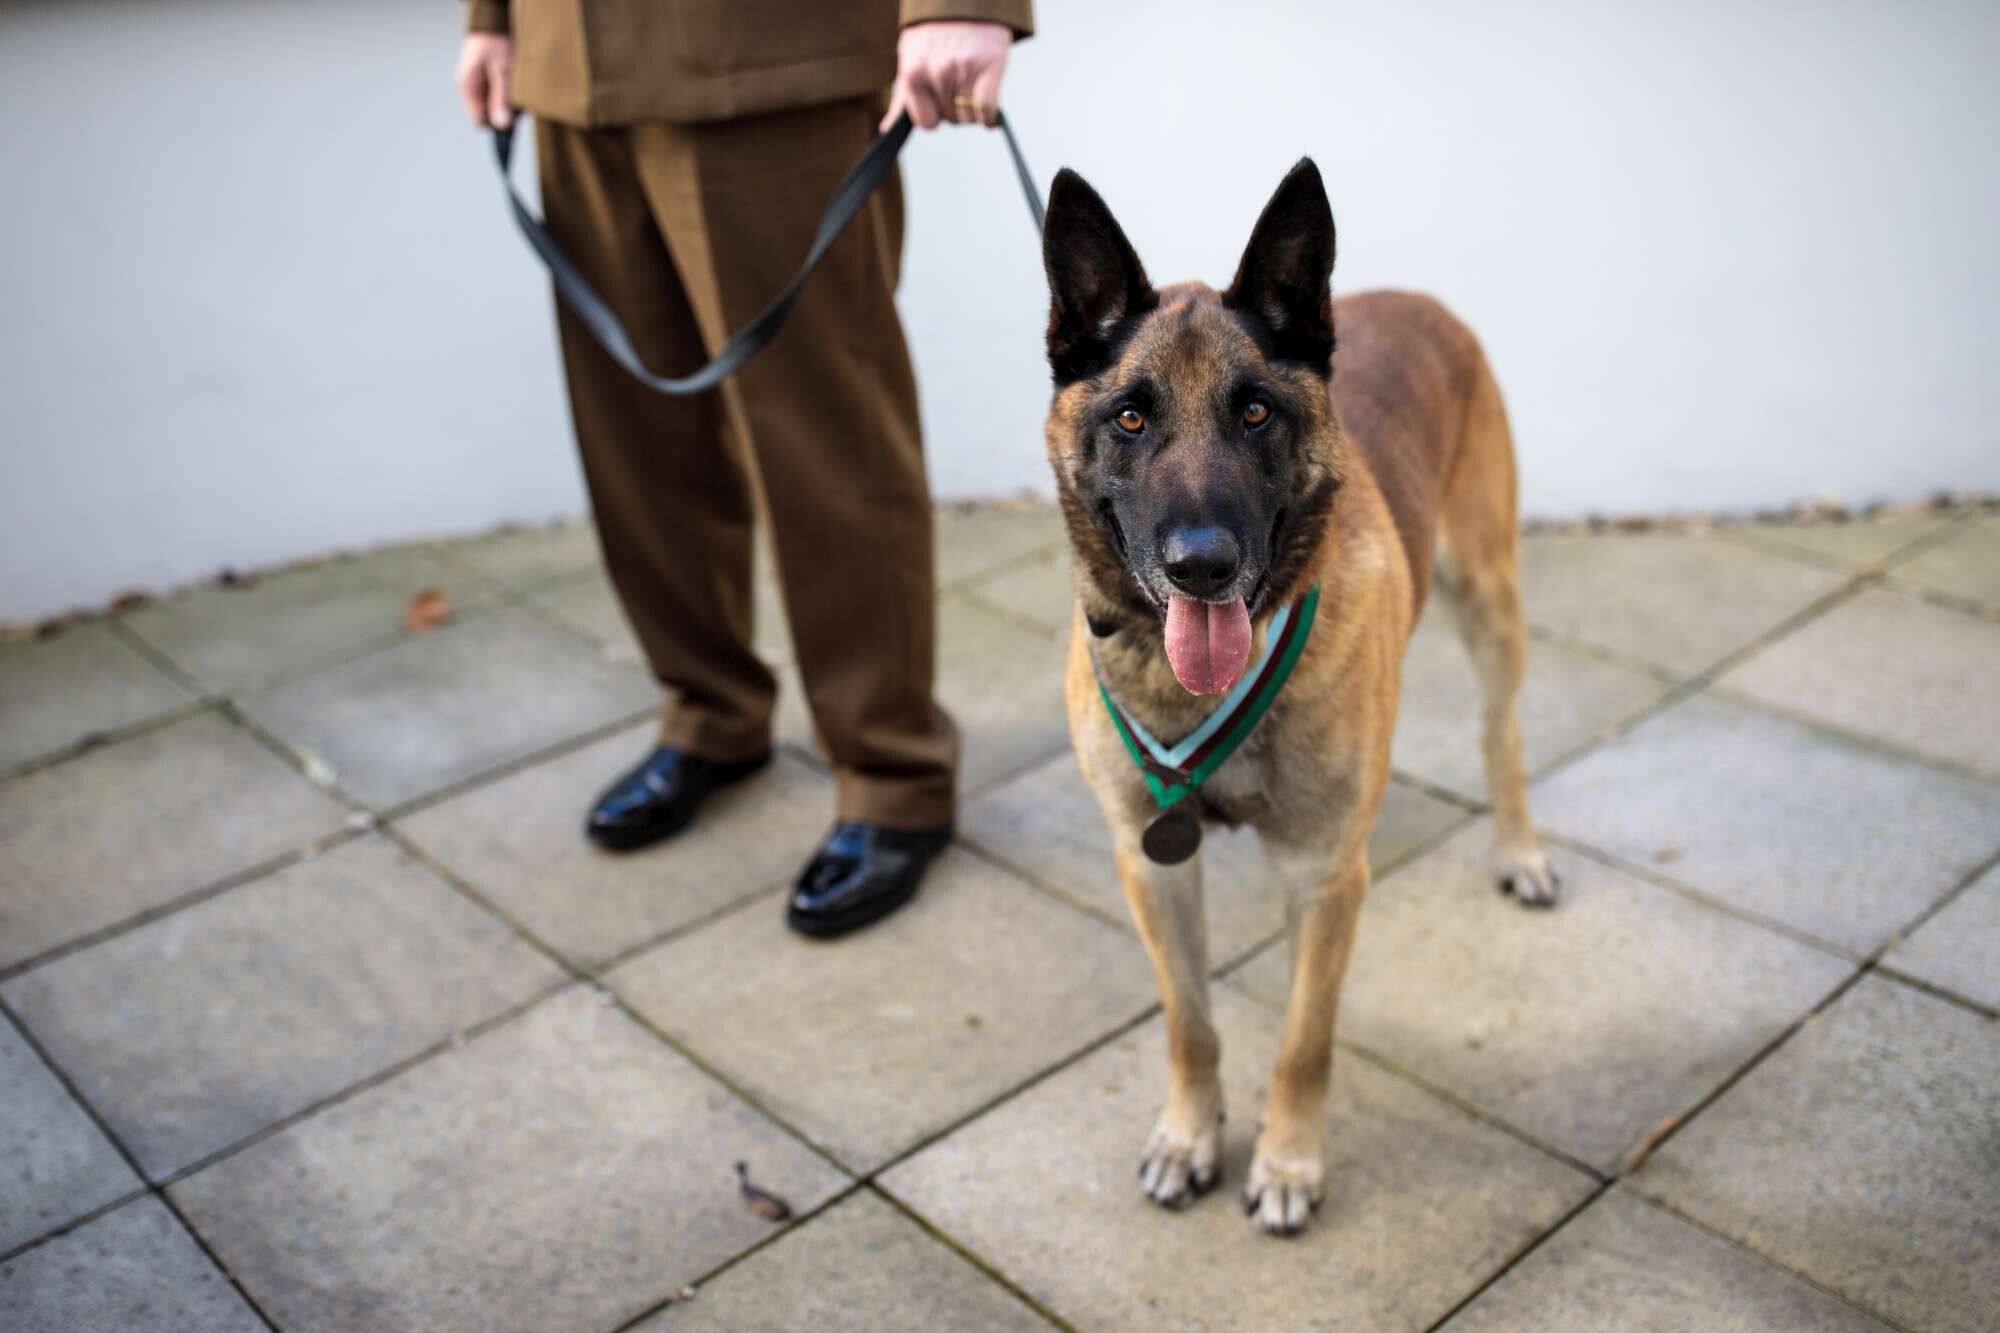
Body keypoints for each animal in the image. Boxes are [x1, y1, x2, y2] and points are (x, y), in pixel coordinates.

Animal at [1048, 158, 1560, 1232]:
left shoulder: (1324, 878)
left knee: (1502, 735)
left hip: (1491, 602)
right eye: (1130, 416)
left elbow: (1302, 1039)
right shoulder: (1152, 867)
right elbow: (1190, 1022)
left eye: (1255, 413)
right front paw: (1191, 1135)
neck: (1193, 696)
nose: (1202, 567)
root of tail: (1416, 296)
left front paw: (1286, 1163)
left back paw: (1521, 850)